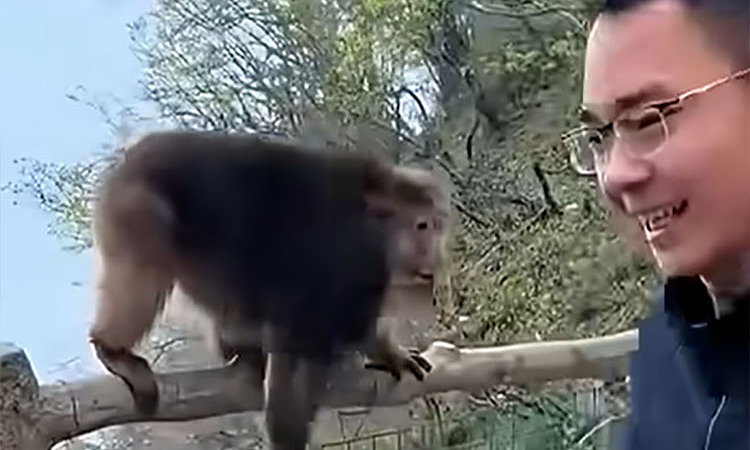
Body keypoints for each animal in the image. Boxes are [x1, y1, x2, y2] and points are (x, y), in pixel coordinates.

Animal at [87, 130, 452, 450]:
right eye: (422, 225)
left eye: (436, 226)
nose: (436, 255)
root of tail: (130, 157)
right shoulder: (339, 265)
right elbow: (293, 359)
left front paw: (388, 351)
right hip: (136, 208)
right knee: (147, 266)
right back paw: (113, 349)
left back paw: (237, 342)